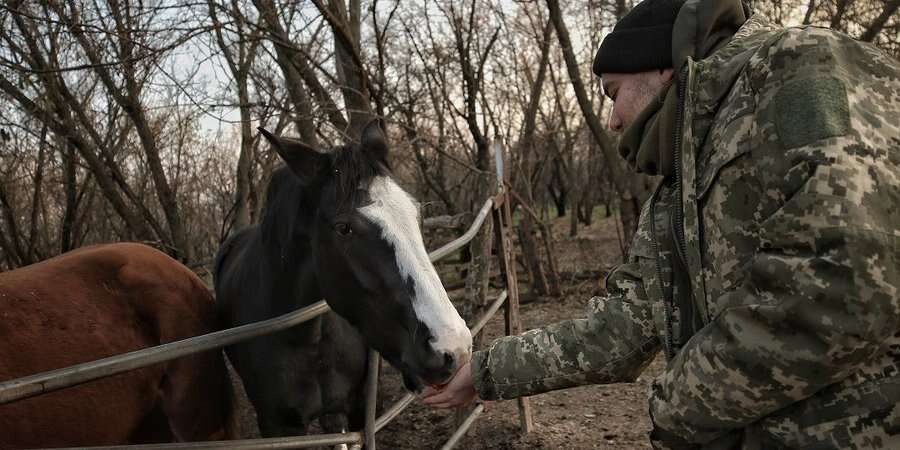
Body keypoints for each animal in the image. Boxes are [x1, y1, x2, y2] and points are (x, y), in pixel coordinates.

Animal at [213, 121, 472, 438]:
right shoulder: (278, 426)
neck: (308, 340)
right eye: (343, 228)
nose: (453, 348)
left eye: (417, 214)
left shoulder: (361, 408)